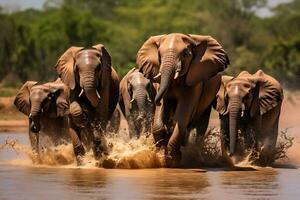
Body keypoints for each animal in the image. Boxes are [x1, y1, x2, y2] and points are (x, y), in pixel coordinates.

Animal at [136, 33, 230, 167]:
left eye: (186, 54)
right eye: (159, 54)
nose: (156, 101)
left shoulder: (194, 81)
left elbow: (183, 113)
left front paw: (172, 160)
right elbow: (161, 116)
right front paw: (160, 153)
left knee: (199, 124)